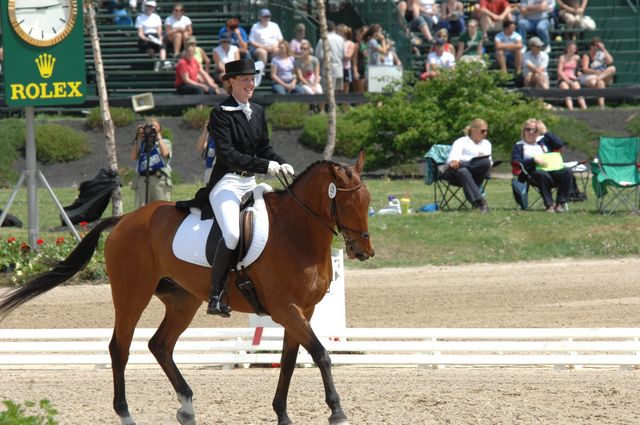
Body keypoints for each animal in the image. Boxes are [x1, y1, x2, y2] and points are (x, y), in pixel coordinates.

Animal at [0, 152, 376, 424]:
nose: (364, 252)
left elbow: (289, 360)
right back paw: (126, 413)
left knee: (160, 345)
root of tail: (125, 219)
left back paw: (187, 407)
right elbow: (321, 353)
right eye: (348, 203)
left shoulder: (302, 310)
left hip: (183, 301)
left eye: (368, 200)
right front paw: (337, 411)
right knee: (120, 348)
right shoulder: (286, 308)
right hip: (131, 295)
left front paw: (283, 414)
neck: (296, 232)